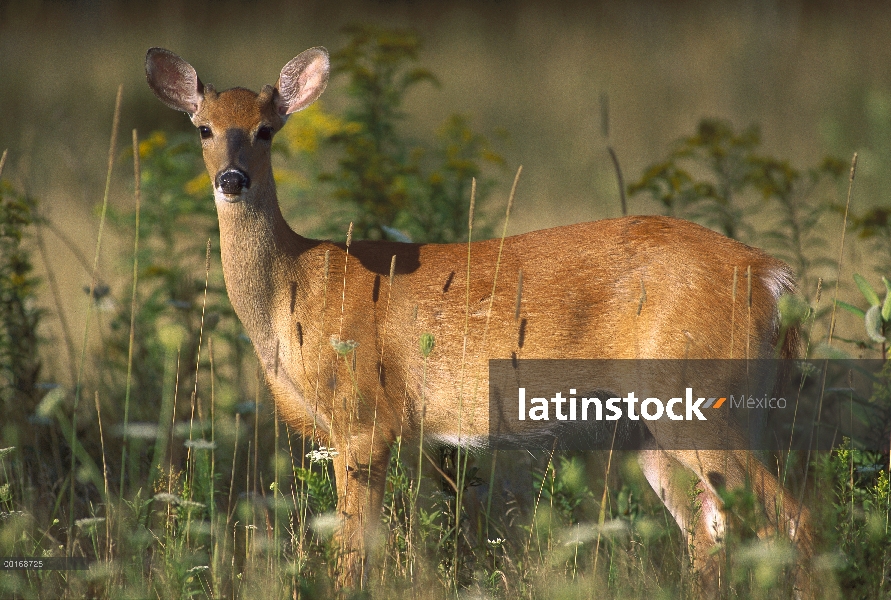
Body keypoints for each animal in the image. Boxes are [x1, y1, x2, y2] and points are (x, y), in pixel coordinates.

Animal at [146, 45, 816, 596]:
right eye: (203, 128)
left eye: (266, 130)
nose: (232, 179)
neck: (294, 290)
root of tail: (771, 276)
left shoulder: (364, 416)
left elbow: (352, 555)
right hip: (654, 427)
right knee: (711, 530)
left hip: (697, 392)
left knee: (790, 518)